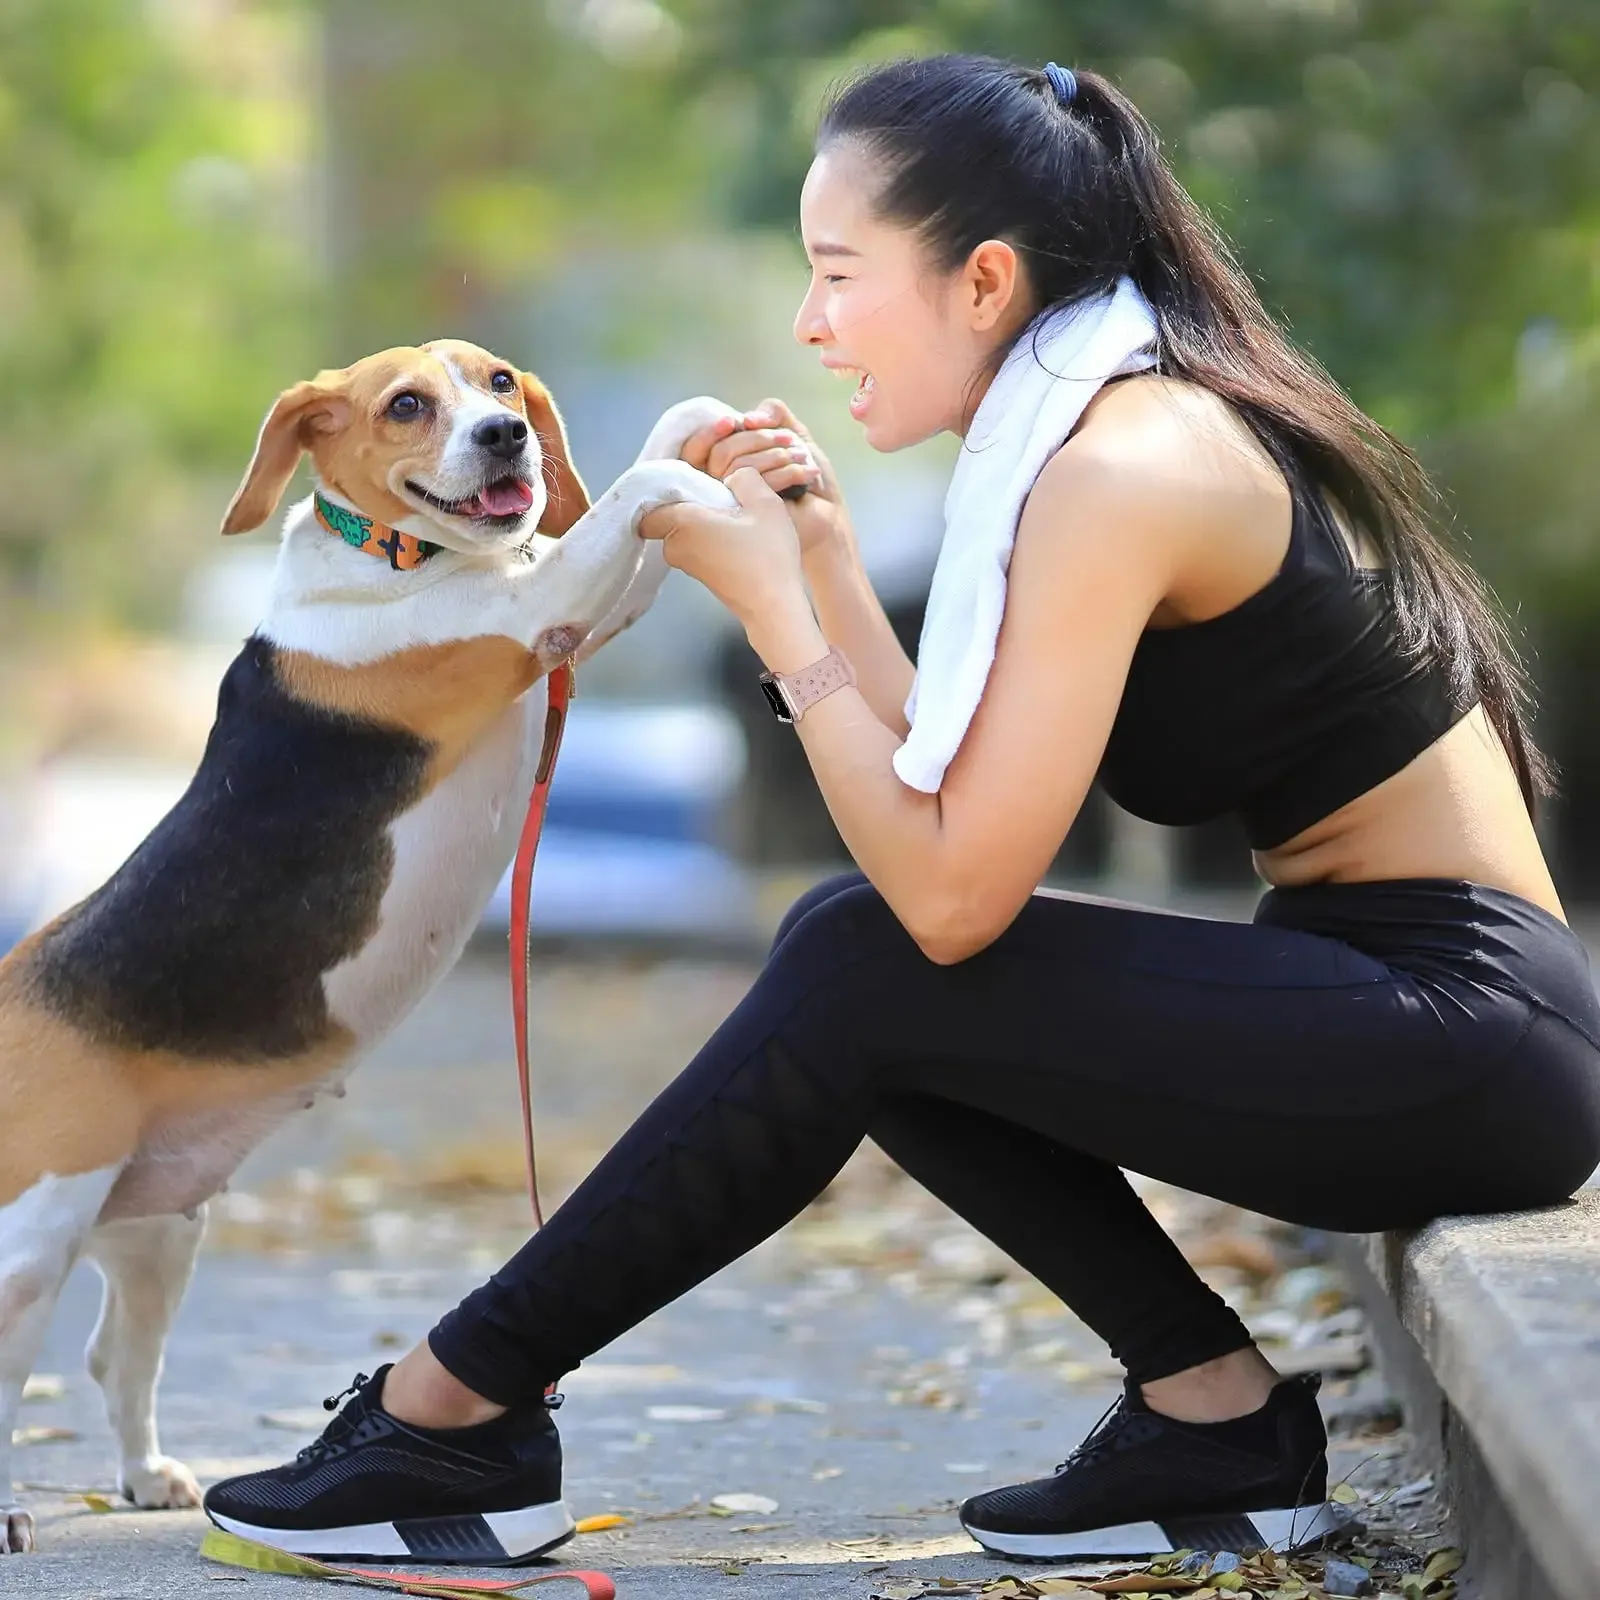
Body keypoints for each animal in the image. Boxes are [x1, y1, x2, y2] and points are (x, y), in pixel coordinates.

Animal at [0, 337, 736, 1548]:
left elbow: (640, 469)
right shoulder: (535, 613)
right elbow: (633, 492)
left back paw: (151, 1477)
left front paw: (711, 424)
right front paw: (703, 484)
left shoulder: (571, 615)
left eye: (499, 384)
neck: (392, 557)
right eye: (405, 407)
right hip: (33, 1240)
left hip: (154, 1230)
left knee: (115, 1359)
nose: (507, 438)